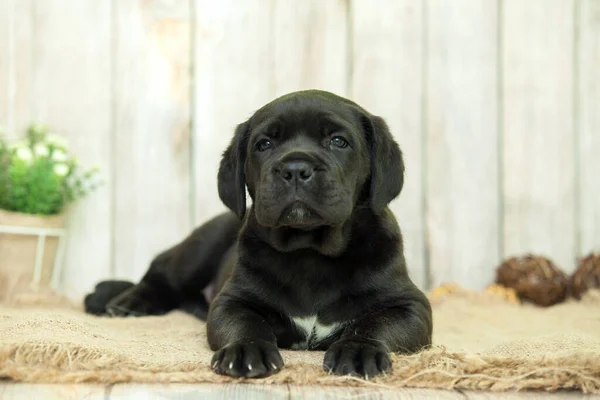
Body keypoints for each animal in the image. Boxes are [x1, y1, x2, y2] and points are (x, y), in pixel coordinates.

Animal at [84, 90, 432, 378]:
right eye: (264, 144)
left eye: (338, 141)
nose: (295, 168)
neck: (310, 251)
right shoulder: (232, 301)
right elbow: (248, 323)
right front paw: (246, 351)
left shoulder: (411, 307)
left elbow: (375, 324)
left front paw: (359, 351)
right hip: (202, 246)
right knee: (161, 272)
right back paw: (130, 301)